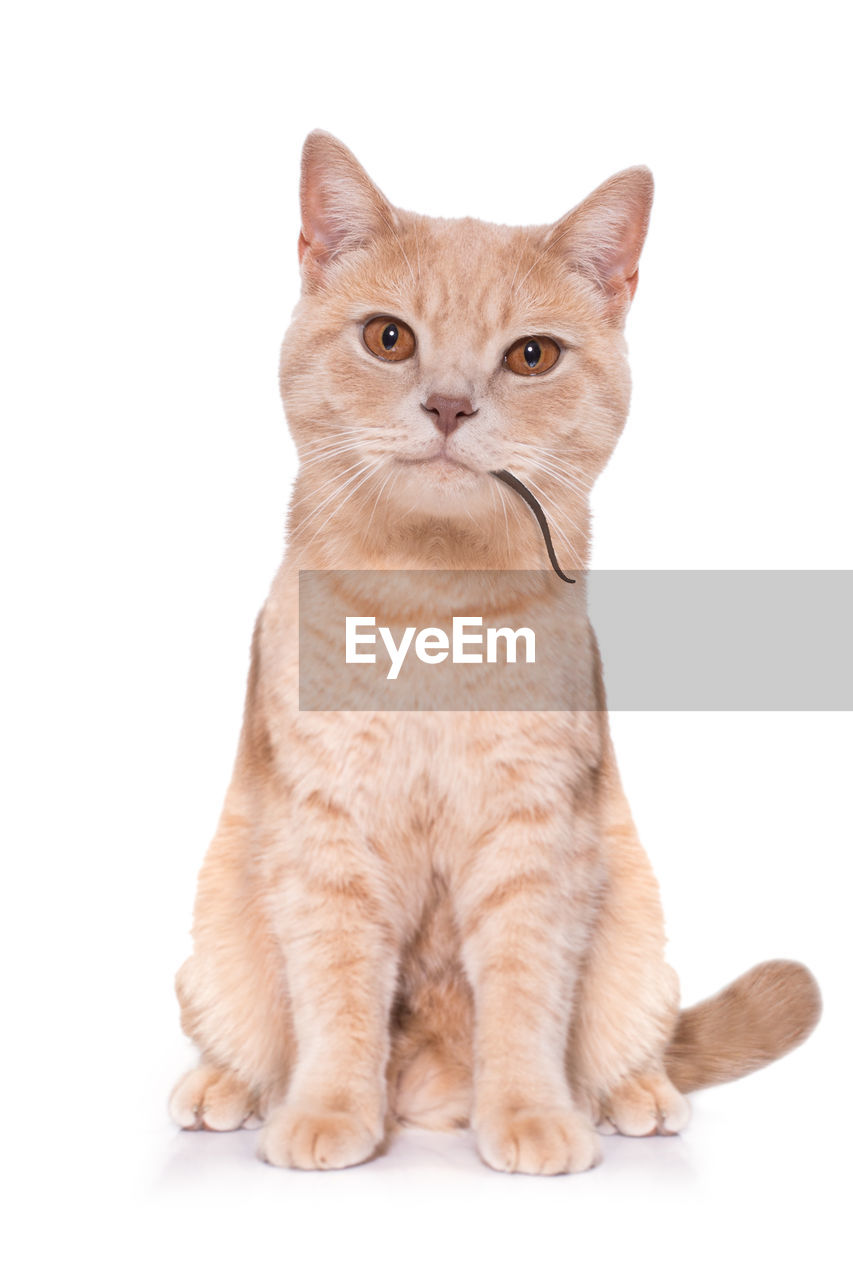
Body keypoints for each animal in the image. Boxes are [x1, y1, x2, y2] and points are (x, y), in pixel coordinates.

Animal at [171, 129, 819, 1172]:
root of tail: (428, 1099)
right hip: (215, 939)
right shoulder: (327, 838)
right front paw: (325, 1114)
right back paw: (225, 1089)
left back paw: (632, 1096)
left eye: (530, 356)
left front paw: (528, 1118)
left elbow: (523, 1000)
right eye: (388, 338)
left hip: (637, 931)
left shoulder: (533, 840)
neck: (436, 611)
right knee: (245, 1034)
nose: (447, 405)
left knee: (629, 1041)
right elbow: (336, 999)